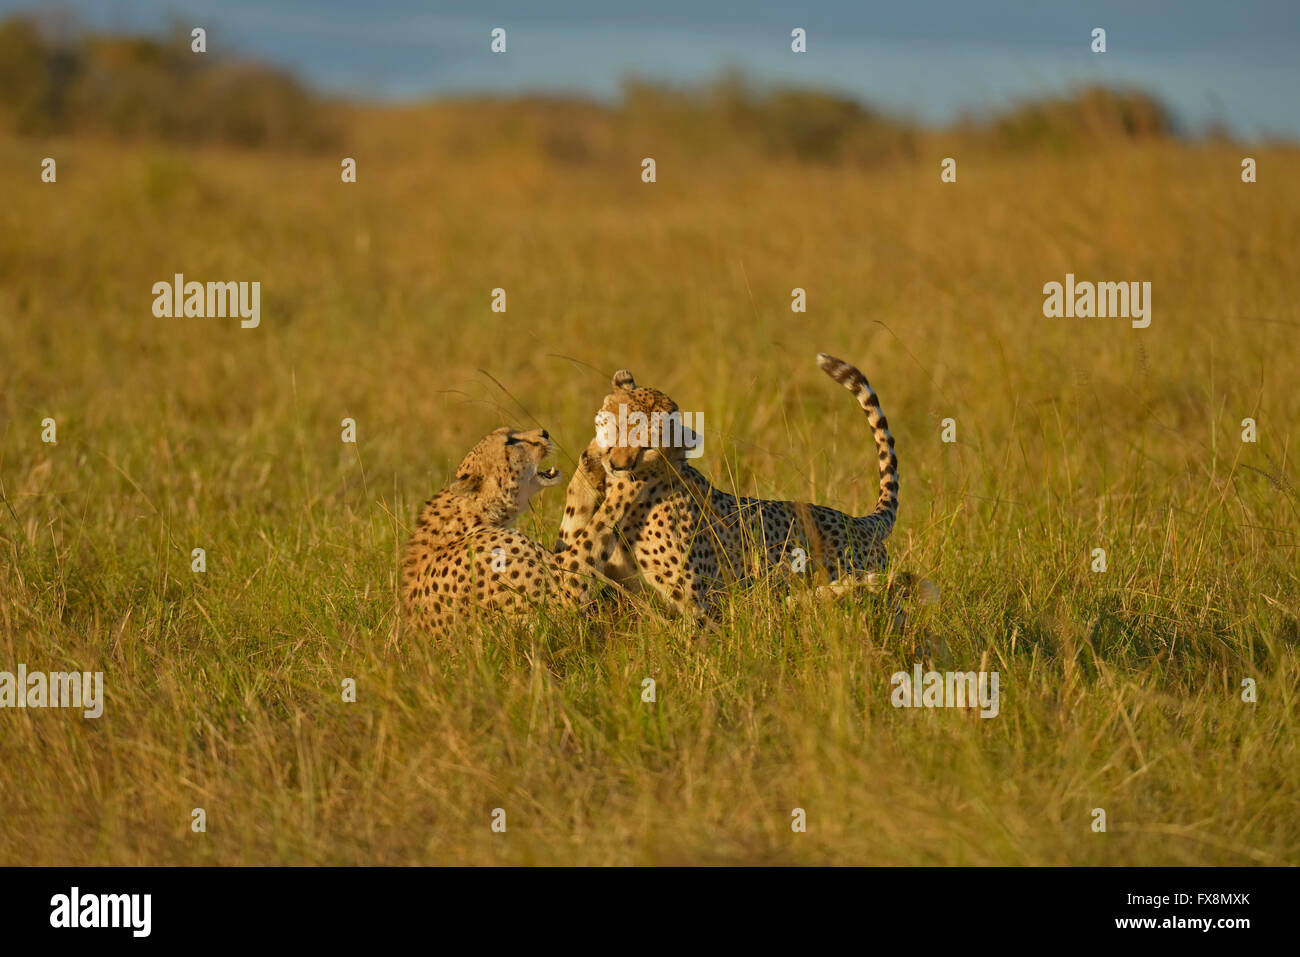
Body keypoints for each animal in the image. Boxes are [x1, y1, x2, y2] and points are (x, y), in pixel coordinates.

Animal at [397, 426, 637, 634]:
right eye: (510, 441)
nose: (544, 432)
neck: (473, 515)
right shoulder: (563, 593)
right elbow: (600, 522)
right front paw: (630, 479)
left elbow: (578, 515)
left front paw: (595, 456)